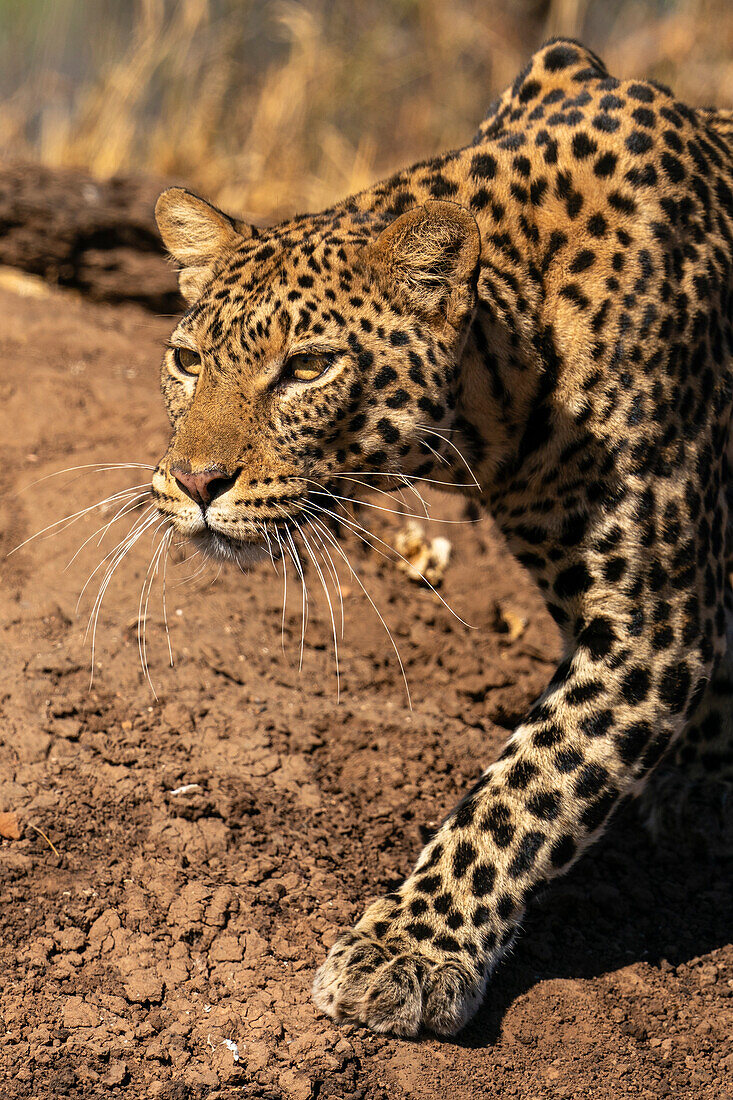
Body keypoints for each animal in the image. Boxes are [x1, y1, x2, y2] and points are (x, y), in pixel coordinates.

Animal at [147, 40, 730, 1038]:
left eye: (308, 367)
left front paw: (408, 953)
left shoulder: (649, 623)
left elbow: (528, 785)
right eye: (188, 361)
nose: (194, 483)